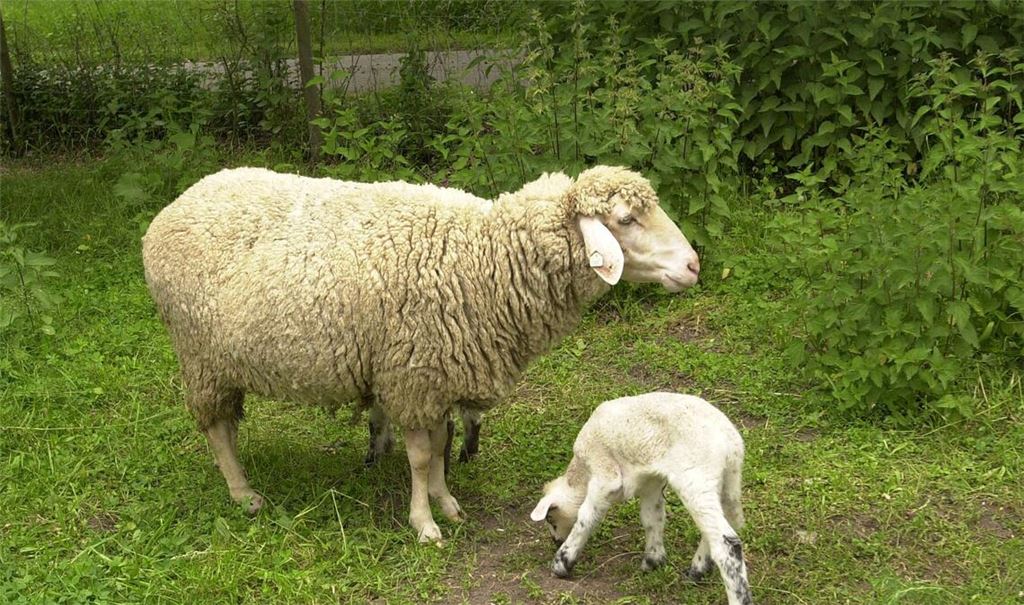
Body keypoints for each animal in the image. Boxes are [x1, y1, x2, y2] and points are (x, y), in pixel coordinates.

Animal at [141, 165, 700, 542]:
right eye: (625, 220)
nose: (694, 265)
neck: (484, 258)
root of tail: (175, 205)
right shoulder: (411, 375)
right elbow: (419, 455)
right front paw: (424, 524)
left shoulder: (436, 374)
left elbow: (437, 443)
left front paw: (445, 501)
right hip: (200, 356)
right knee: (216, 429)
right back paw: (243, 494)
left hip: (220, 361)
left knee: (225, 426)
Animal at [530, 392, 753, 605]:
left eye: (550, 518)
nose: (555, 541)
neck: (581, 474)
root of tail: (733, 445)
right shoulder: (651, 482)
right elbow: (652, 518)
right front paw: (653, 561)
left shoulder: (605, 474)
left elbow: (586, 516)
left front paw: (562, 563)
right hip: (726, 484)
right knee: (719, 526)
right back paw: (696, 571)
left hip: (696, 478)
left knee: (727, 544)